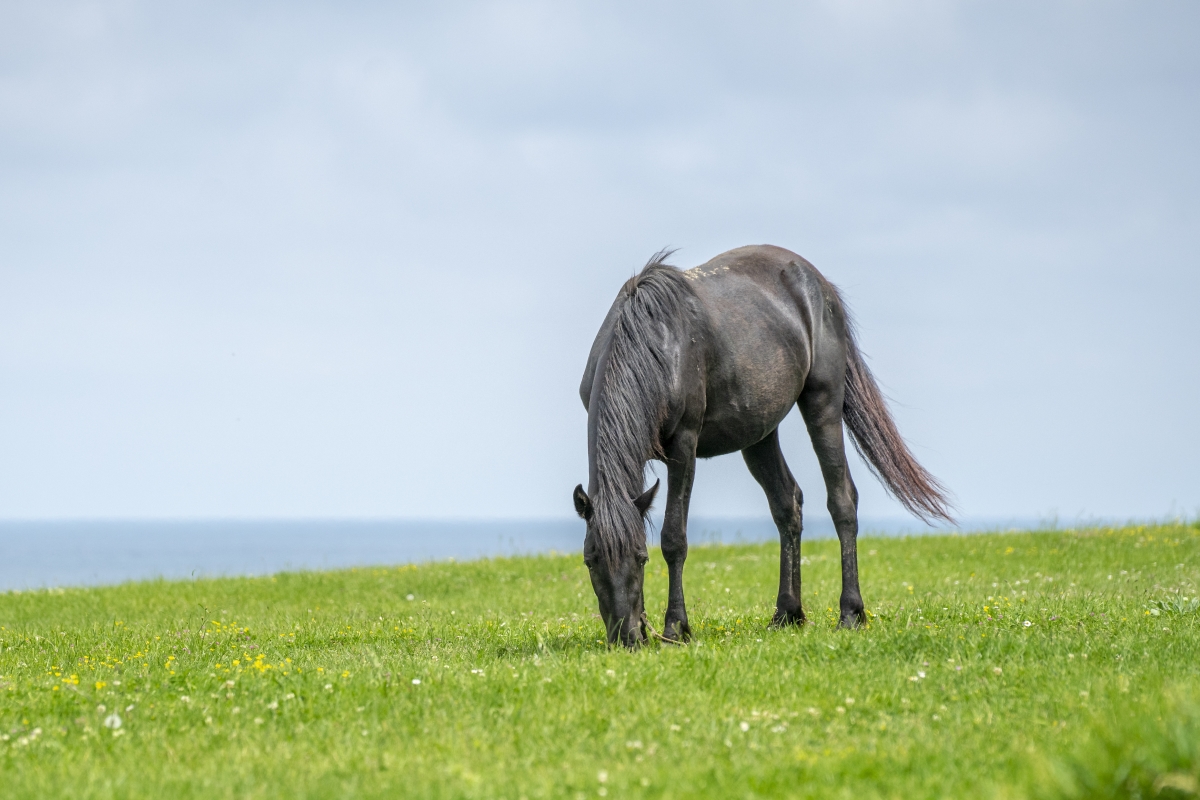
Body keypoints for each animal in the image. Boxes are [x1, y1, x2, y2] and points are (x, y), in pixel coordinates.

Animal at [573, 245, 954, 647]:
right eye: (590, 560)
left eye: (641, 558)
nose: (625, 637)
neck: (654, 344)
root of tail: (819, 284)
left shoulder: (683, 448)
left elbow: (674, 537)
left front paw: (676, 628)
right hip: (758, 434)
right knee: (787, 504)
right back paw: (787, 614)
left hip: (822, 404)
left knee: (842, 501)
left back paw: (850, 613)